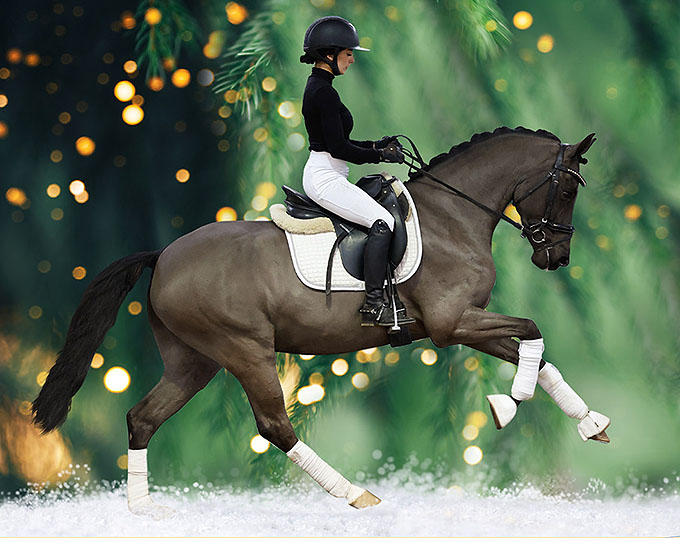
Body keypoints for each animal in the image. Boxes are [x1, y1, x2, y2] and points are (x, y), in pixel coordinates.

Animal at [32, 126, 607, 518]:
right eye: (568, 191)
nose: (556, 258)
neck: (451, 217)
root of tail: (164, 254)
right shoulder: (453, 324)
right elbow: (532, 330)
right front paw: (509, 405)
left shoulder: (464, 322)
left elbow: (534, 349)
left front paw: (590, 423)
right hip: (245, 350)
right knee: (273, 426)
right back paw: (356, 494)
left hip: (192, 361)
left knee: (143, 419)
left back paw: (144, 509)